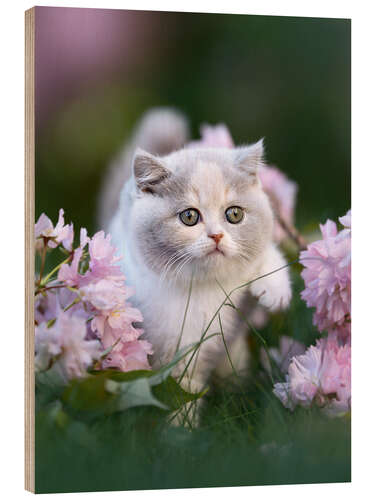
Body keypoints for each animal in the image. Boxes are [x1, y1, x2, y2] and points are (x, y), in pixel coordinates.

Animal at [103, 108, 294, 422]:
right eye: (189, 217)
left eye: (234, 214)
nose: (216, 235)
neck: (204, 289)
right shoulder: (175, 347)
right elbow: (182, 389)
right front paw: (183, 429)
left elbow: (263, 250)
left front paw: (274, 290)